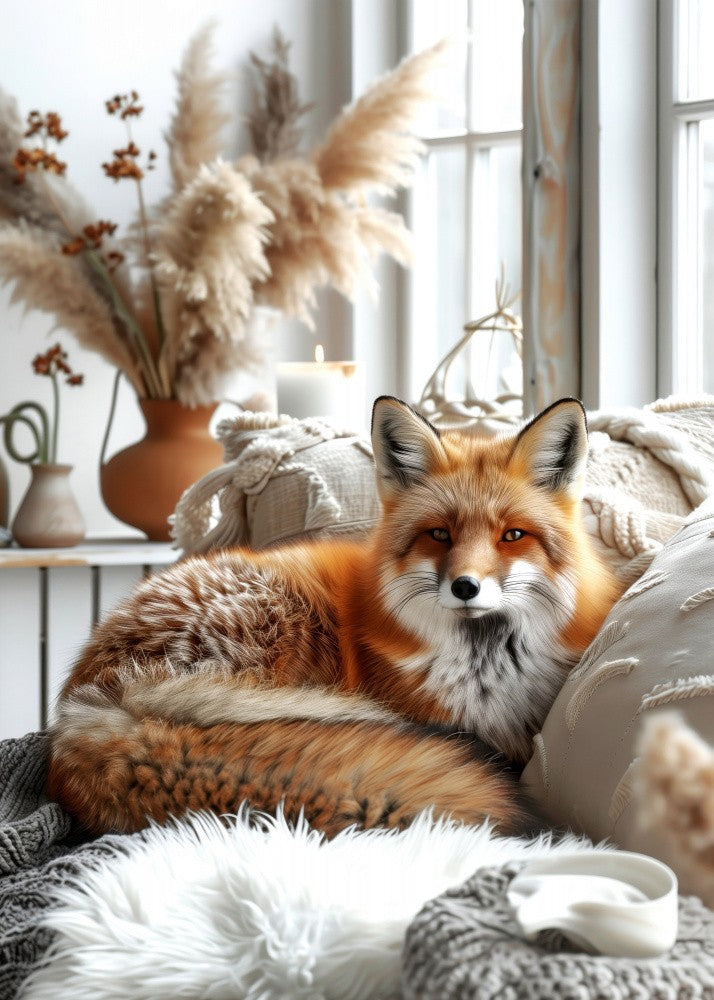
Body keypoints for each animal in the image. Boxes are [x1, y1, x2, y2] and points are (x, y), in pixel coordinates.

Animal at [48, 395, 620, 838]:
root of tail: (95, 700)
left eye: (512, 535)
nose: (465, 587)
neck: (486, 674)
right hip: (281, 622)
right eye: (439, 534)